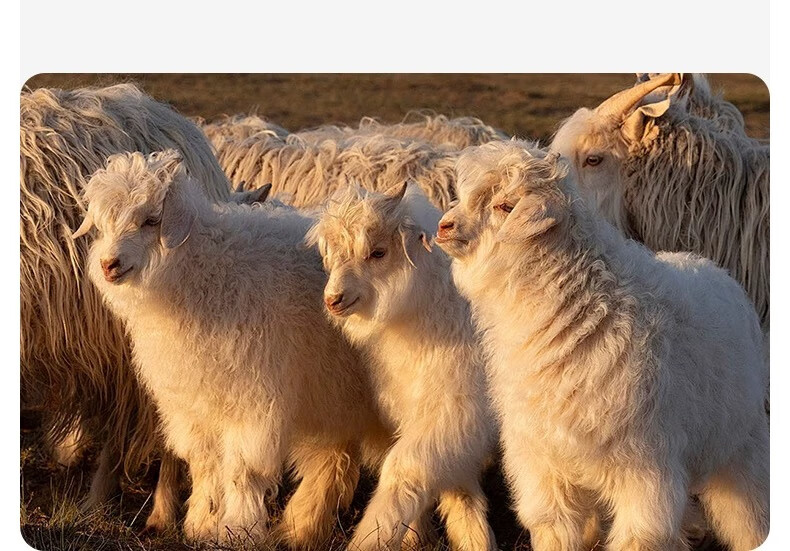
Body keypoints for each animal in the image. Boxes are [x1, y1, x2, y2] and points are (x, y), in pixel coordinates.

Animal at [73, 150, 390, 548]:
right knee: (332, 461)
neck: (208, 274)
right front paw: (201, 524)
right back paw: (301, 528)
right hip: (332, 394)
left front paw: (237, 531)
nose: (109, 265)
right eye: (102, 226)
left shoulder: (253, 400)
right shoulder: (195, 405)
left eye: (151, 220)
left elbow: (243, 471)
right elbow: (204, 463)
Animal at [305, 183, 496, 551]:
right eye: (331, 256)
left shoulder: (456, 410)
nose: (333, 300)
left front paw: (371, 537)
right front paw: (459, 536)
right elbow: (458, 487)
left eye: (378, 253)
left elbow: (405, 469)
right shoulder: (421, 411)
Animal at [435, 141, 769, 551]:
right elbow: (554, 529)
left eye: (505, 206)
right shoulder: (545, 469)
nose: (443, 227)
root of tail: (706, 263)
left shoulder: (644, 472)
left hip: (742, 444)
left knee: (749, 515)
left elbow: (639, 537)